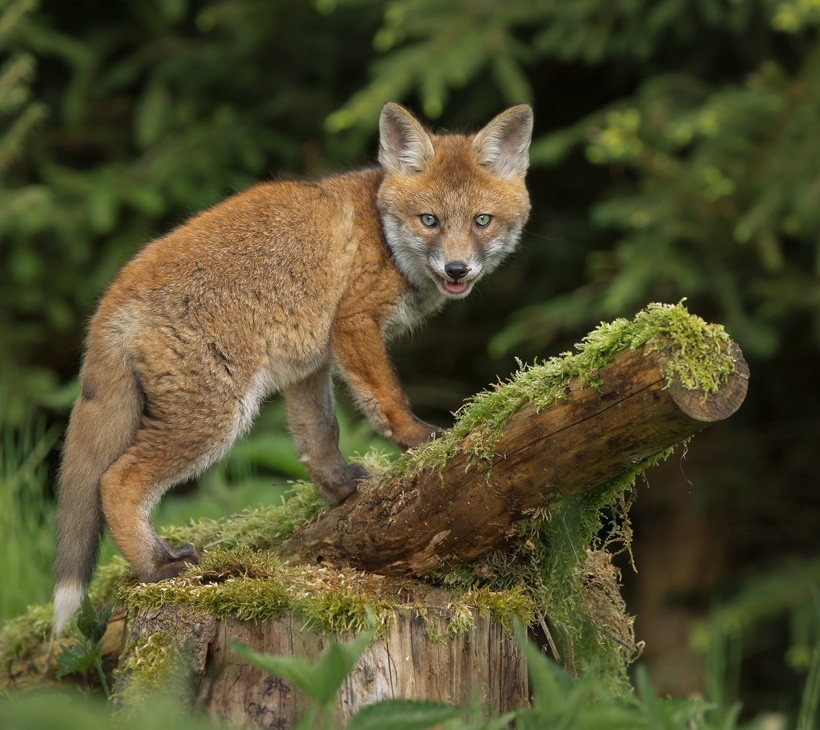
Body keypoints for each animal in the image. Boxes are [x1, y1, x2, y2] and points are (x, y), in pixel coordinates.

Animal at [52, 101, 540, 632]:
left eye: (481, 220)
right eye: (429, 220)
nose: (456, 269)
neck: (382, 234)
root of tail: (113, 294)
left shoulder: (310, 364)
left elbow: (318, 439)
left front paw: (341, 490)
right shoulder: (354, 323)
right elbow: (389, 399)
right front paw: (419, 440)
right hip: (213, 419)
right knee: (114, 482)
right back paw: (156, 566)